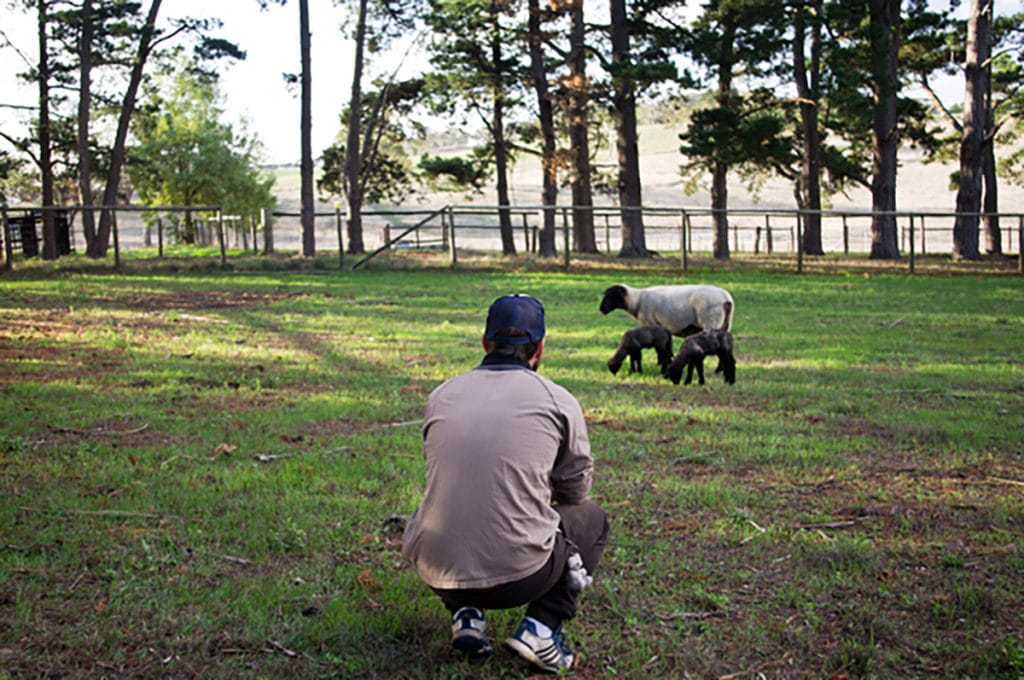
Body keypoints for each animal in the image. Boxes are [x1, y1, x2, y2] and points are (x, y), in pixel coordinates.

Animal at [598, 282, 737, 335]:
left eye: (612, 295)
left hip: (710, 321)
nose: (601, 309)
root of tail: (725, 297)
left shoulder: (650, 323)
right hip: (726, 324)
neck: (637, 301)